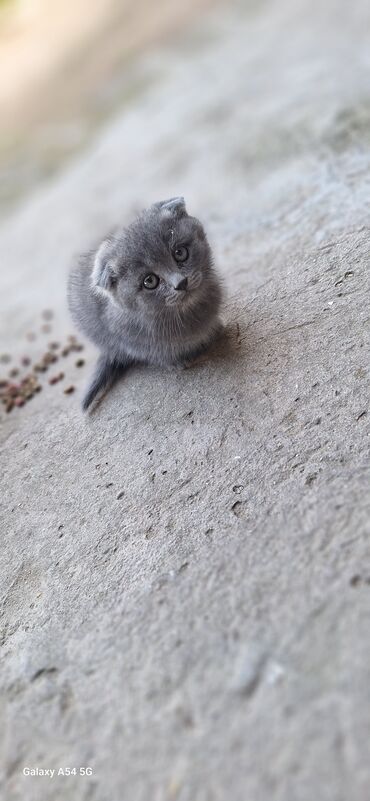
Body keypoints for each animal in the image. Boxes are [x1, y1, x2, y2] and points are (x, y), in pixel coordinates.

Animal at [67, 198, 223, 410]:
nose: (181, 283)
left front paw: (215, 329)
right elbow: (158, 354)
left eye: (180, 253)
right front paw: (182, 360)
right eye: (150, 281)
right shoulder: (132, 341)